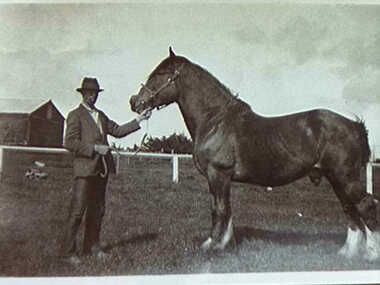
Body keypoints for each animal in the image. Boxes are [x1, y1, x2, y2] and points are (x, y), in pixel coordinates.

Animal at [130, 47, 380, 260]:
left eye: (161, 73)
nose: (135, 102)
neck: (216, 120)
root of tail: (354, 125)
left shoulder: (218, 173)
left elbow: (219, 210)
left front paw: (213, 247)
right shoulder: (219, 178)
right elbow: (225, 209)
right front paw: (225, 244)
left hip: (345, 178)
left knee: (366, 206)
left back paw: (370, 254)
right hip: (336, 179)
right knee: (350, 210)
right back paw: (347, 253)